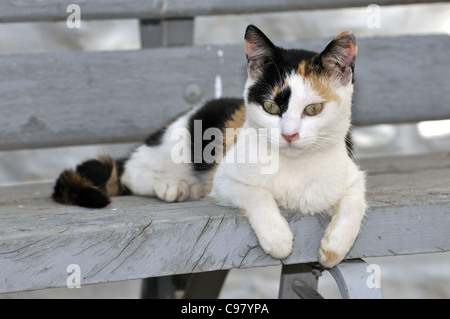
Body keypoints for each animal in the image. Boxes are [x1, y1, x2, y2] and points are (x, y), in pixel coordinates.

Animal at [54, 25, 368, 268]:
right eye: (270, 106)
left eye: (313, 109)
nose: (289, 135)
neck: (295, 165)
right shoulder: (225, 178)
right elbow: (257, 194)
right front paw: (278, 238)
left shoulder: (352, 175)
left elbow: (356, 201)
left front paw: (333, 249)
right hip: (177, 144)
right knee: (132, 171)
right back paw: (172, 186)